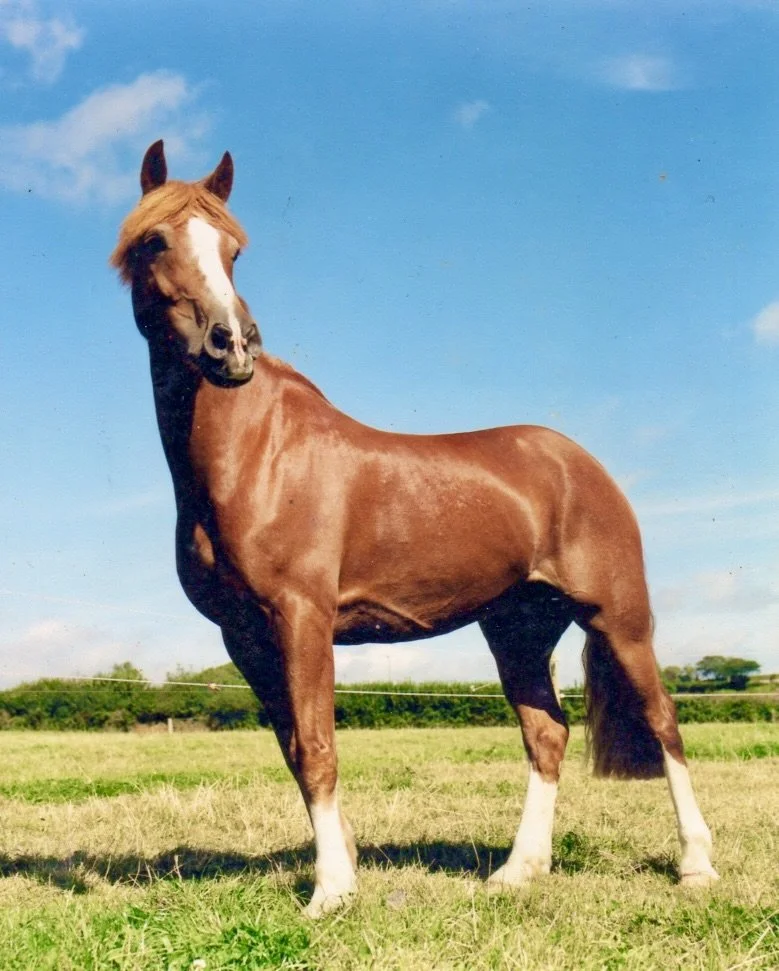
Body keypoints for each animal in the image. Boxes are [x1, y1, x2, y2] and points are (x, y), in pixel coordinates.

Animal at [111, 141, 719, 917]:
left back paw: (694, 864)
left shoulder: (302, 619)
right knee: (547, 734)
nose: (233, 347)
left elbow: (317, 748)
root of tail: (580, 463)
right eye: (156, 240)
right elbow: (293, 751)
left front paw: (330, 890)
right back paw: (519, 869)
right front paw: (342, 869)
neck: (254, 456)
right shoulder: (242, 637)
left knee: (664, 722)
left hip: (619, 616)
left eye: (234, 250)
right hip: (518, 629)